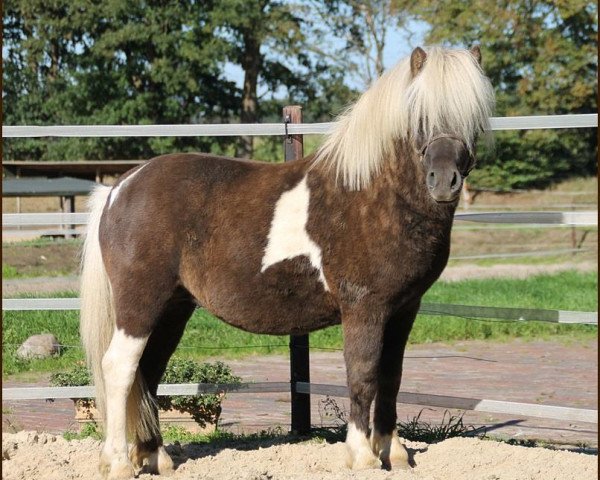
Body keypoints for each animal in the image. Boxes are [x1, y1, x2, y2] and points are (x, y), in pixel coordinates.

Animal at [79, 46, 492, 480]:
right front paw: (362, 456)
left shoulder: (403, 310)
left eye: (473, 114)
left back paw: (156, 457)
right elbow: (363, 375)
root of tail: (119, 188)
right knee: (120, 369)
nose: (443, 180)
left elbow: (390, 377)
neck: (372, 195)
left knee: (150, 371)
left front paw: (394, 454)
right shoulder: (364, 309)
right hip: (140, 304)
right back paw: (118, 462)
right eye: (418, 114)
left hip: (173, 308)